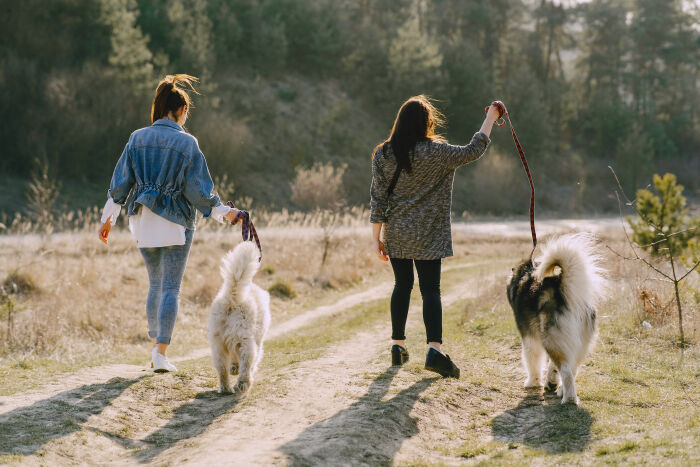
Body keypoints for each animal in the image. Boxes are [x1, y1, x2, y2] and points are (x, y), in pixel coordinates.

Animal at [208, 241, 270, 394]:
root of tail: (231, 299)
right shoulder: (257, 341)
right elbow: (254, 360)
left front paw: (234, 368)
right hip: (245, 340)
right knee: (247, 362)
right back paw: (243, 384)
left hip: (218, 343)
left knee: (222, 368)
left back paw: (225, 388)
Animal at [504, 236, 608, 404]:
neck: (526, 273)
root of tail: (566, 292)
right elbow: (552, 367)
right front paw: (551, 382)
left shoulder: (529, 338)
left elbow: (532, 361)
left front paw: (532, 382)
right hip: (576, 345)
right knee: (572, 369)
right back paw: (561, 391)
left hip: (551, 339)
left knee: (566, 371)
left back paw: (569, 398)